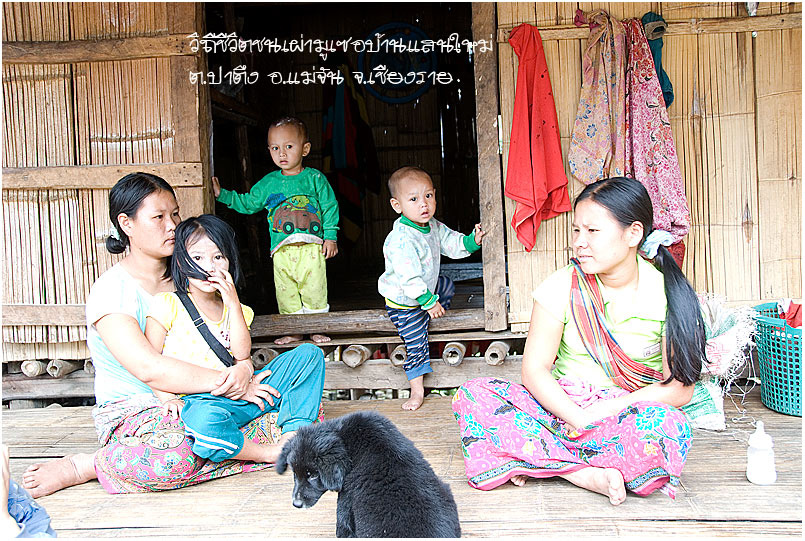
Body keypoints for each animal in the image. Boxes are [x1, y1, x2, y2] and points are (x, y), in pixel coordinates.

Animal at [276, 410, 461, 538]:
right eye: (294, 473)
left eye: (313, 475)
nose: (296, 504)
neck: (347, 441)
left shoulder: (346, 501)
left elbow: (343, 527)